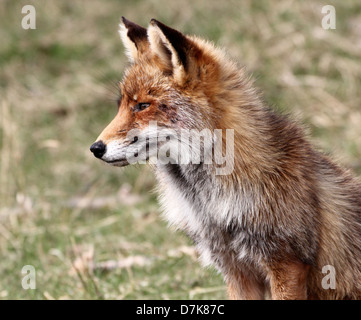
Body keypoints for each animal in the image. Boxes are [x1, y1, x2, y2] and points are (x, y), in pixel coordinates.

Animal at [90, 16, 360, 298]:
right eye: (120, 106)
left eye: (142, 105)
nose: (96, 148)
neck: (210, 204)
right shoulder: (235, 269)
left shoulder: (286, 262)